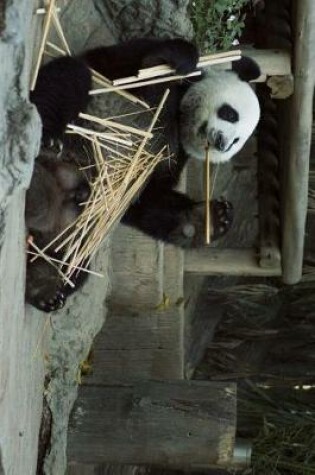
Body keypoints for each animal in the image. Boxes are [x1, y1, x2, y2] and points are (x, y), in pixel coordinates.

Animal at [25, 38, 260, 312]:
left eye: (237, 141)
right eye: (230, 114)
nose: (222, 143)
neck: (179, 120)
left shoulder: (166, 158)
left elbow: (148, 201)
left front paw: (212, 218)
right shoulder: (139, 79)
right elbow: (136, 64)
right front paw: (181, 58)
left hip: (79, 227)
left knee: (72, 261)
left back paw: (44, 284)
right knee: (71, 78)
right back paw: (48, 140)